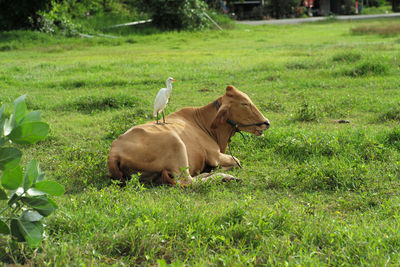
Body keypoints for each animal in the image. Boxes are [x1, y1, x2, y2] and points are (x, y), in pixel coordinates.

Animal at [107, 86, 268, 186]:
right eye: (244, 104)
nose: (267, 123)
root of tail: (114, 150)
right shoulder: (215, 155)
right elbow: (237, 161)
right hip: (176, 144)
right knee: (187, 181)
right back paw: (224, 177)